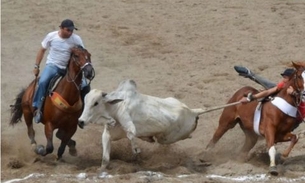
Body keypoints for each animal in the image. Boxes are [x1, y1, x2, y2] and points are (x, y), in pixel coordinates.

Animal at [78, 79, 207, 169]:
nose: (80, 121)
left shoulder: (128, 122)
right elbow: (105, 159)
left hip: (167, 139)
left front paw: (136, 150)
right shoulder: (107, 134)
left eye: (96, 103)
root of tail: (192, 111)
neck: (116, 106)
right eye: (85, 101)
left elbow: (131, 134)